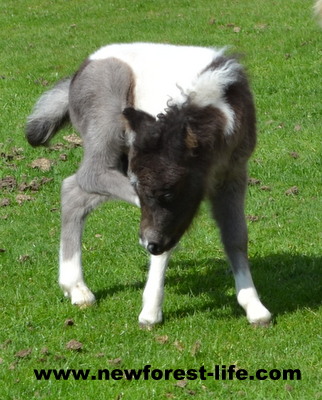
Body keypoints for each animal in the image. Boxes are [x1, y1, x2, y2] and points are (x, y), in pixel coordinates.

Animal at [25, 43, 272, 324]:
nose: (148, 245)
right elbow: (165, 233)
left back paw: (75, 288)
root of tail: (80, 71)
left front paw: (254, 306)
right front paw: (151, 311)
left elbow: (235, 236)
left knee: (73, 190)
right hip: (110, 119)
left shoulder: (233, 174)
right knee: (92, 174)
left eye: (169, 192)